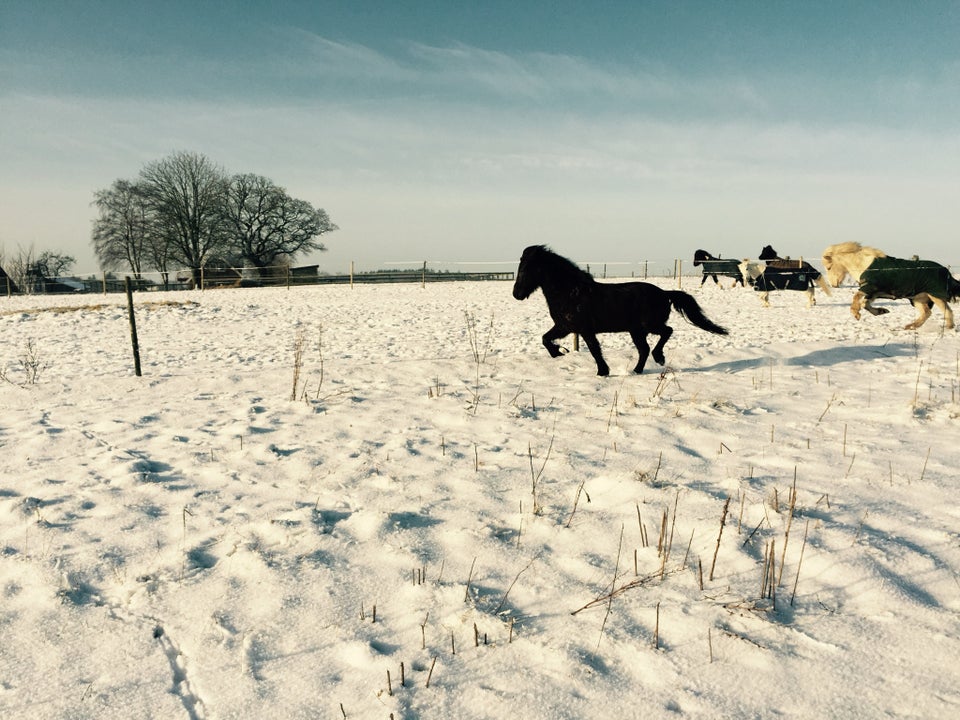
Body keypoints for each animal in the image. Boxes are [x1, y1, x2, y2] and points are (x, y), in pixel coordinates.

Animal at [510, 245, 728, 374]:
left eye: (527, 268)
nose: (516, 294)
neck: (570, 292)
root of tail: (664, 293)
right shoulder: (565, 327)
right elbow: (545, 339)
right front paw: (559, 352)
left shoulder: (584, 329)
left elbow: (595, 350)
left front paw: (602, 372)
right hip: (637, 331)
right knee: (644, 349)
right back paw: (637, 370)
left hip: (647, 326)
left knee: (666, 332)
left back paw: (659, 358)